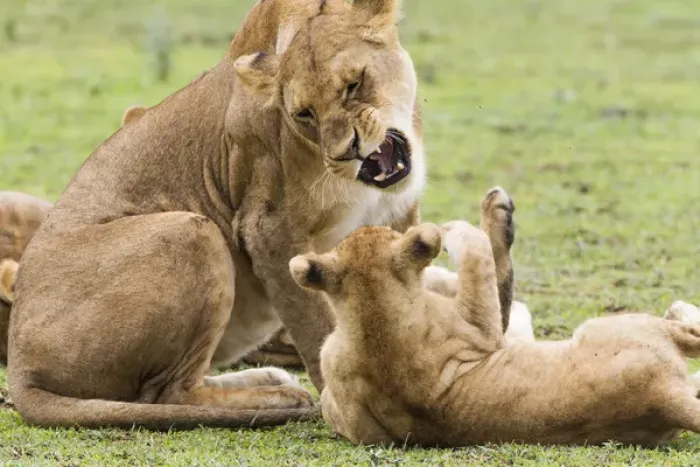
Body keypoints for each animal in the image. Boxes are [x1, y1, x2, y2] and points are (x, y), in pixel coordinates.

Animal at [7, 0, 442, 429]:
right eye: (304, 115)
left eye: (354, 84)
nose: (344, 152)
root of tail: (20, 372)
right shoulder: (268, 227)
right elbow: (317, 327)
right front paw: (342, 407)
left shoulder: (399, 215)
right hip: (192, 231)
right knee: (169, 393)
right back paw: (275, 398)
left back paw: (270, 380)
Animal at [290, 187, 700, 447]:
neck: (372, 315)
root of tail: (662, 398)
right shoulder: (483, 330)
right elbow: (479, 259)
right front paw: (457, 228)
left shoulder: (342, 401)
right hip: (619, 325)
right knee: (691, 334)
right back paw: (679, 307)